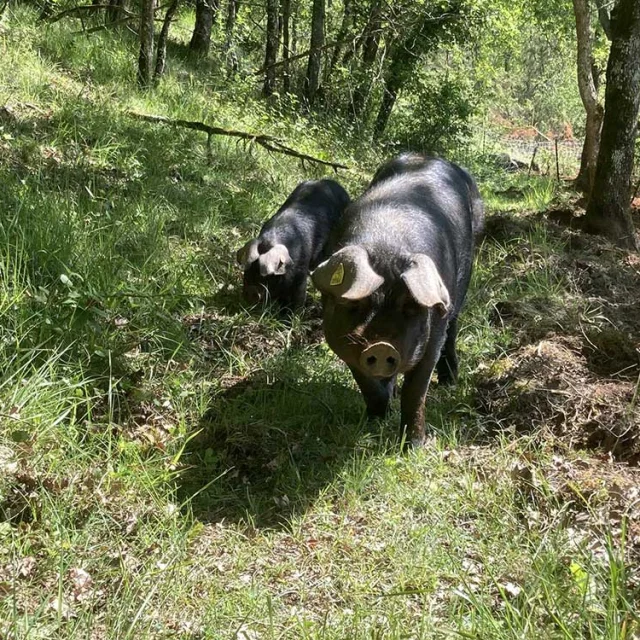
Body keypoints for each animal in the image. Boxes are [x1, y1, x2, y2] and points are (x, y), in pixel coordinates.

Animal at [239, 179, 352, 312]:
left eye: (267, 275)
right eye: (247, 270)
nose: (251, 291)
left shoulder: (301, 272)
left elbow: (299, 295)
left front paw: (292, 314)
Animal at [312, 154, 484, 444]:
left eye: (410, 305)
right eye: (354, 304)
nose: (381, 346)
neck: (386, 245)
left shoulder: (432, 337)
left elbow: (415, 392)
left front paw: (413, 446)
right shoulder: (343, 341)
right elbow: (367, 385)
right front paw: (374, 422)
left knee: (453, 328)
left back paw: (449, 381)